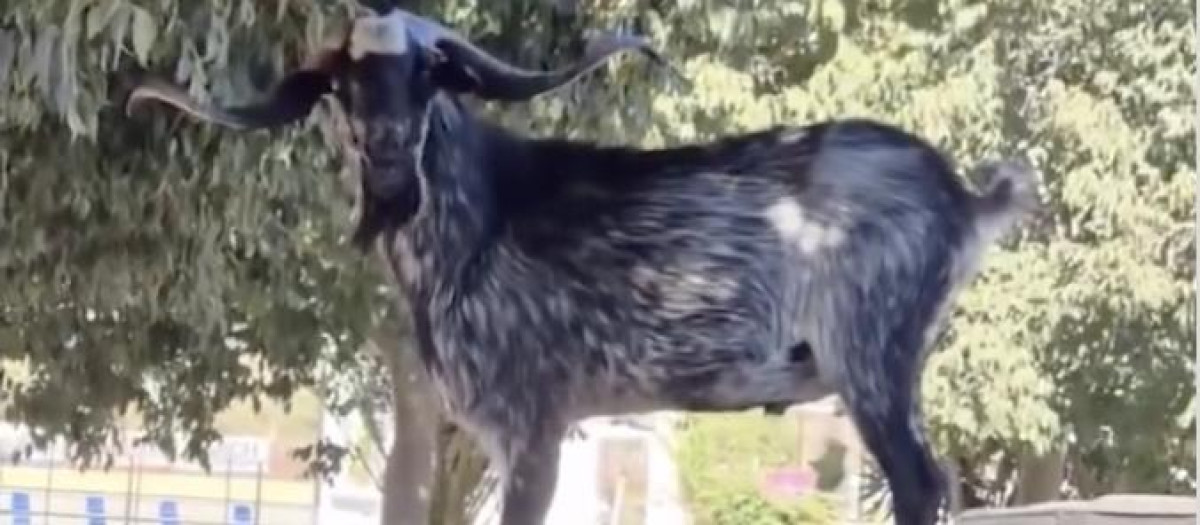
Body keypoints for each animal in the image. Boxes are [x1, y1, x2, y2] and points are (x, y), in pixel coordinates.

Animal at [126, 7, 1037, 525]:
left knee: (921, 486)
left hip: (870, 351)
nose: (386, 162)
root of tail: (965, 197)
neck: (481, 216)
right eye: (343, 80)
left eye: (431, 71)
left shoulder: (533, 416)